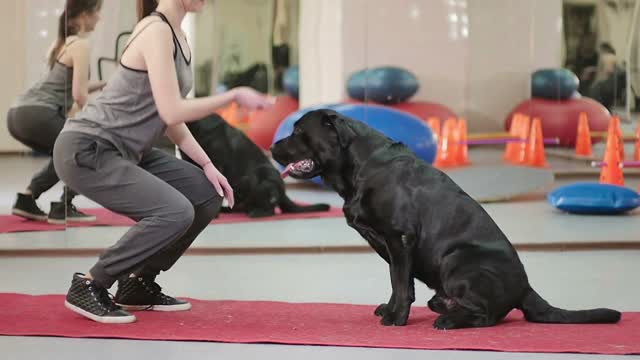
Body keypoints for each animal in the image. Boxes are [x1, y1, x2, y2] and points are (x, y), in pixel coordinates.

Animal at [270, 109, 620, 330]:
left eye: (299, 132)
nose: (272, 148)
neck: (359, 166)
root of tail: (526, 288)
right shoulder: (391, 247)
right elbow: (396, 281)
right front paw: (390, 309)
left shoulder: (399, 237)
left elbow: (401, 284)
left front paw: (396, 318)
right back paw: (445, 308)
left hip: (457, 259)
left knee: (487, 316)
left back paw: (449, 321)